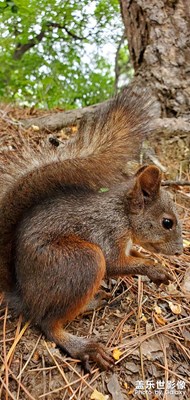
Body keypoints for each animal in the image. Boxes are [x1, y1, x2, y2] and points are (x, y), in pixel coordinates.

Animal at [0, 89, 183, 370]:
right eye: (167, 222)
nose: (180, 251)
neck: (123, 216)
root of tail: (23, 295)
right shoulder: (106, 231)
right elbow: (116, 263)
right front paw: (155, 269)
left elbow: (134, 256)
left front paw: (156, 265)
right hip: (81, 262)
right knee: (48, 323)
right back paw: (85, 347)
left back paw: (93, 302)